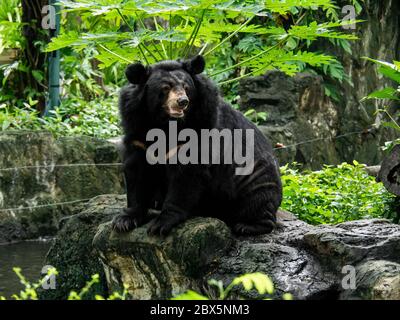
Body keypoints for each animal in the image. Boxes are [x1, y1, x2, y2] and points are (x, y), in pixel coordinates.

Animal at [111, 55, 282, 236]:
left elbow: (186, 177)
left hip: (255, 178)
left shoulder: (200, 127)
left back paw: (246, 226)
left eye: (186, 88)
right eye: (166, 87)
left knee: (257, 201)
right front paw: (124, 221)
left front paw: (160, 224)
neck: (166, 124)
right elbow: (137, 173)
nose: (182, 101)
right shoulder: (137, 129)